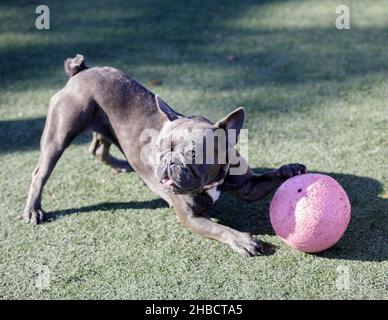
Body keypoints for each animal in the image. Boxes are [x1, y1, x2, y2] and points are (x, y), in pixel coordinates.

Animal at [23, 53, 306, 256]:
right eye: (160, 150)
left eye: (193, 154)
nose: (170, 162)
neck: (211, 182)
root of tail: (80, 71)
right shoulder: (192, 217)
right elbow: (219, 228)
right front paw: (242, 240)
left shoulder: (247, 186)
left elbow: (264, 182)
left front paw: (290, 170)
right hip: (59, 135)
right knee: (40, 173)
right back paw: (33, 210)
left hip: (103, 126)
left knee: (98, 149)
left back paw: (120, 164)